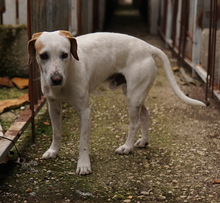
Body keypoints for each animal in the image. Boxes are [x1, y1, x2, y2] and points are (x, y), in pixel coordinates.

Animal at [27, 30, 206, 174]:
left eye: (65, 55)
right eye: (43, 56)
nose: (56, 79)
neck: (69, 70)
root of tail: (148, 47)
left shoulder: (85, 112)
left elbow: (83, 142)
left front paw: (84, 165)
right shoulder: (53, 107)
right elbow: (56, 132)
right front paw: (53, 151)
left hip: (133, 98)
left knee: (135, 124)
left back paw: (127, 147)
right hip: (135, 95)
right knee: (145, 115)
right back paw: (143, 141)